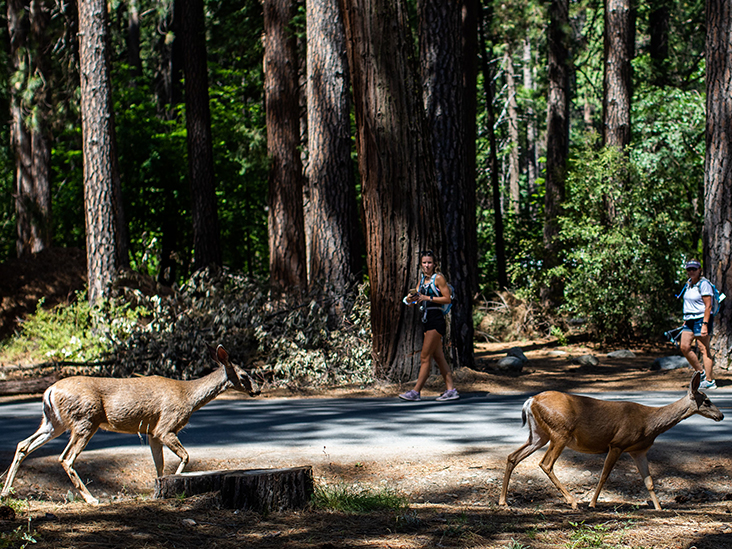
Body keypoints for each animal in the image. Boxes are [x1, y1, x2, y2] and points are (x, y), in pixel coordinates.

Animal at [0, 344, 260, 504]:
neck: (188, 397)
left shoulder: (152, 433)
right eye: (244, 375)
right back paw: (92, 499)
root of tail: (49, 391)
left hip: (54, 422)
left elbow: (159, 467)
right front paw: (175, 483)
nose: (258, 390)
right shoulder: (166, 426)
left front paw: (159, 491)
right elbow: (185, 456)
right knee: (65, 458)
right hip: (85, 420)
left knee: (23, 444)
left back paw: (5, 492)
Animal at [500, 370, 724, 512]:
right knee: (545, 463)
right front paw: (592, 504)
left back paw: (503, 501)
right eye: (707, 401)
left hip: (539, 434)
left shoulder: (638, 450)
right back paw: (573, 502)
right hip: (559, 433)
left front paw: (660, 508)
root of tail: (531, 400)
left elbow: (649, 481)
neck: (650, 423)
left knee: (513, 456)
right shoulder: (617, 444)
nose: (721, 415)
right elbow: (604, 475)